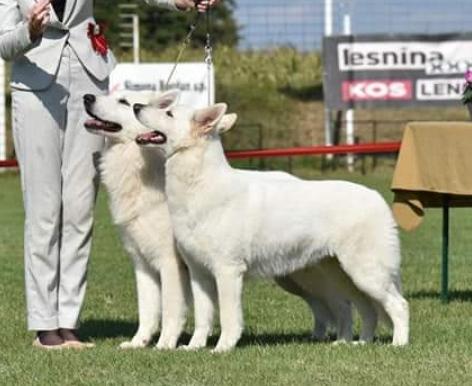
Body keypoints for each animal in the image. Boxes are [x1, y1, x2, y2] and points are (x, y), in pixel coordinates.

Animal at [84, 89, 189, 350]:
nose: (87, 97)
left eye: (124, 102)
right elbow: (147, 310)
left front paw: (165, 344)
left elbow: (171, 310)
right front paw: (138, 342)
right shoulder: (142, 264)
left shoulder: (170, 263)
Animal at [134, 94, 410, 352]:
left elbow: (229, 317)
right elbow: (204, 317)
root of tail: (377, 197)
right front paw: (194, 347)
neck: (200, 186)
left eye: (168, 113)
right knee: (367, 309)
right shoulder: (199, 273)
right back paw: (360, 343)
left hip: (365, 273)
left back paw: (398, 344)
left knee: (399, 305)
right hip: (346, 276)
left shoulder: (228, 271)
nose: (136, 106)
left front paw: (223, 348)